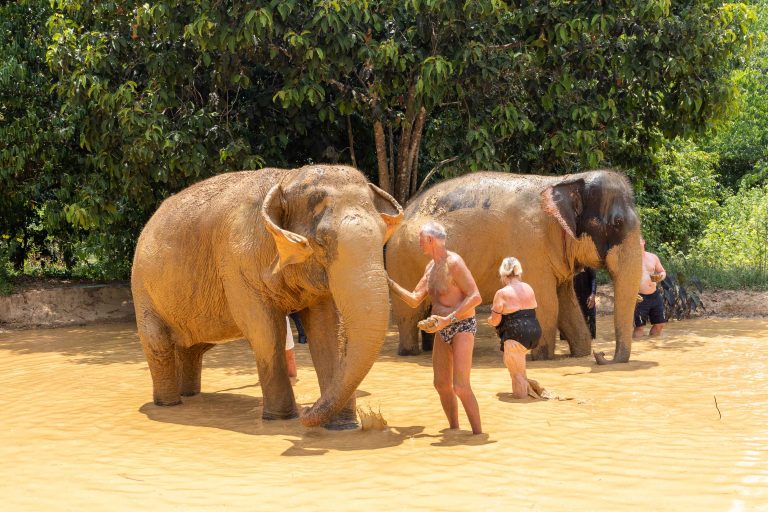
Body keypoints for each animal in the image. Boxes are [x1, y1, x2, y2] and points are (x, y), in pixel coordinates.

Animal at [133, 164, 404, 428]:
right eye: (320, 242)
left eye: (383, 235)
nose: (309, 410)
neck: (286, 179)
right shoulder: (236, 264)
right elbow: (266, 332)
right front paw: (282, 419)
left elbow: (328, 330)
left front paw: (343, 425)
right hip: (143, 291)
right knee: (158, 342)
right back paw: (169, 403)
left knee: (191, 348)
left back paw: (190, 394)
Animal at [388, 171, 644, 364]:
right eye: (618, 223)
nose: (602, 356)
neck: (566, 180)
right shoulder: (530, 244)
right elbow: (547, 303)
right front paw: (542, 358)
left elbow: (567, 304)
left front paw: (580, 353)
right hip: (402, 260)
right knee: (408, 313)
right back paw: (410, 352)